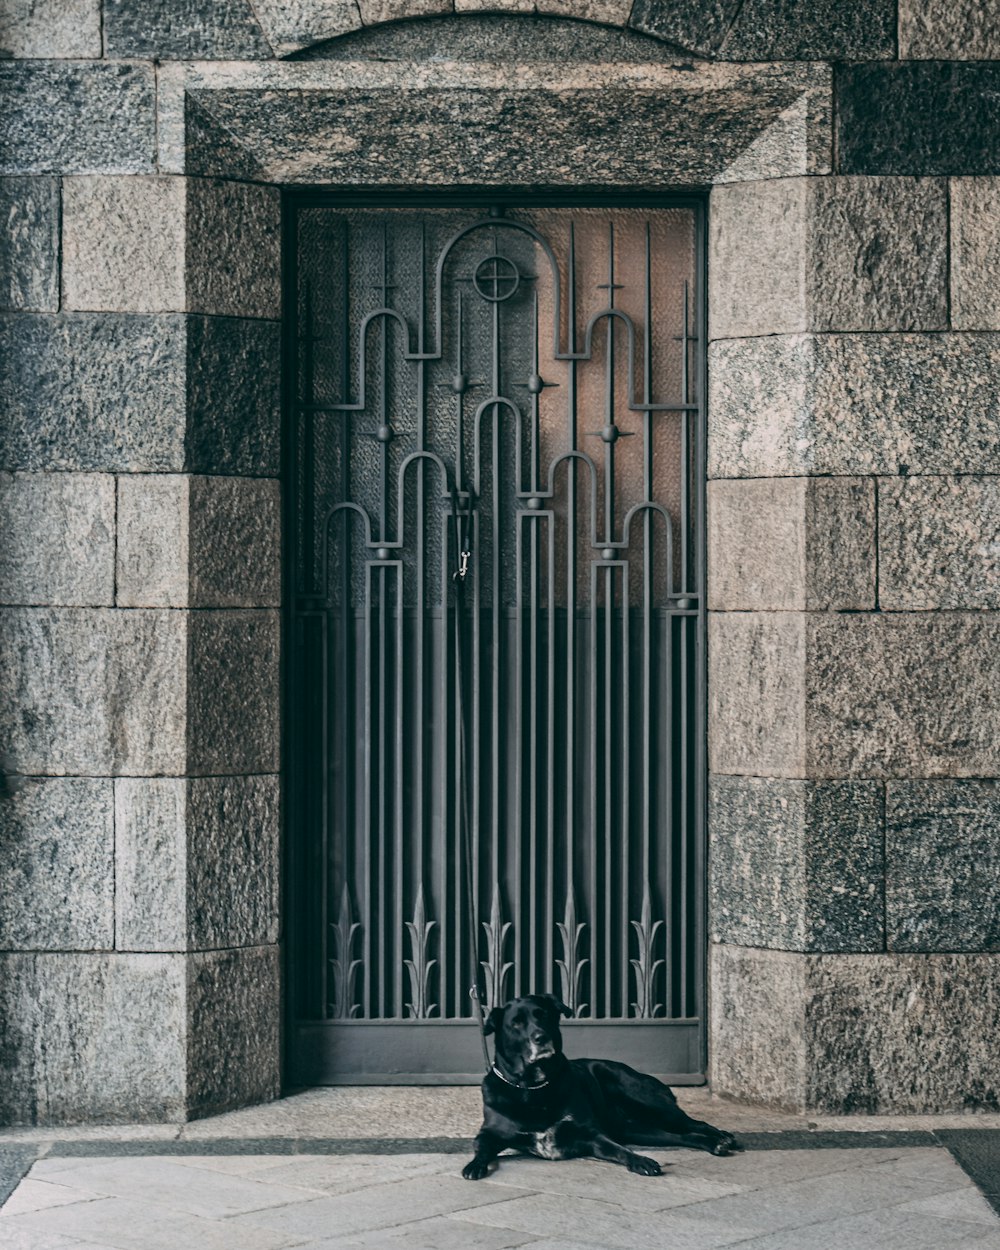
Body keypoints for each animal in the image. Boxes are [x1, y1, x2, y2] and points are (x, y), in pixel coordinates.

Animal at [462, 990, 740, 1175]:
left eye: (544, 1016)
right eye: (516, 1023)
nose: (541, 1037)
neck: (533, 1088)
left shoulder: (591, 1135)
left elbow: (619, 1150)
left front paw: (640, 1160)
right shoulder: (489, 1133)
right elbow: (482, 1148)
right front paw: (475, 1165)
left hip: (648, 1103)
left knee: (694, 1124)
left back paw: (721, 1138)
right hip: (637, 1129)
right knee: (681, 1136)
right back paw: (714, 1143)